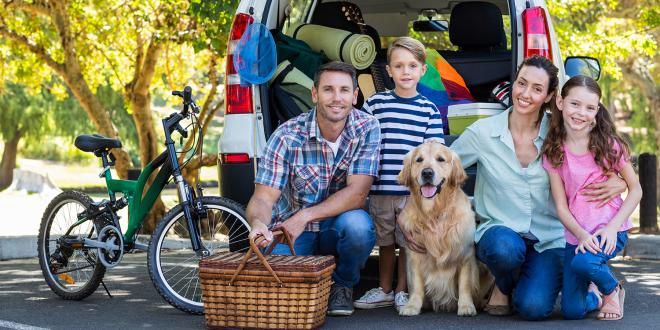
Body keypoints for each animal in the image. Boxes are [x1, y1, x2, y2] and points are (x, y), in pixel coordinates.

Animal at [398, 141, 490, 316]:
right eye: (419, 160)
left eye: (440, 159)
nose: (427, 173)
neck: (435, 213)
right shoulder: (414, 254)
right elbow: (417, 285)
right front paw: (412, 306)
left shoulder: (465, 253)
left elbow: (465, 284)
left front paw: (466, 306)